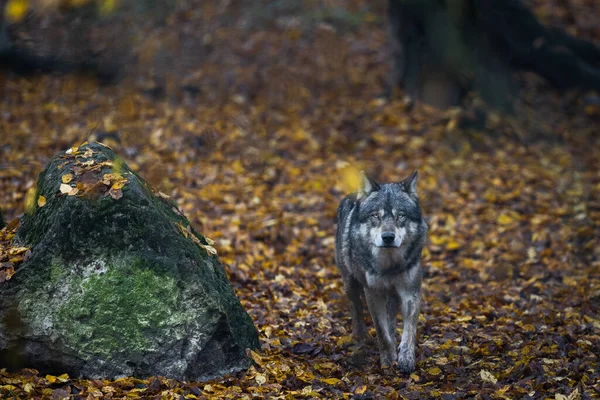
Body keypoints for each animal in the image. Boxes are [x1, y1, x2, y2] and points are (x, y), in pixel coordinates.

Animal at [332, 170, 426, 374]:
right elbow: (381, 332)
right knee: (356, 307)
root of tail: (354, 194)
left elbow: (409, 330)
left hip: (392, 295)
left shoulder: (410, 293)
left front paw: (406, 359)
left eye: (400, 216)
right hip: (350, 284)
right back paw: (361, 335)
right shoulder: (373, 293)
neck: (390, 265)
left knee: (391, 318)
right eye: (376, 215)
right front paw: (388, 360)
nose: (388, 237)